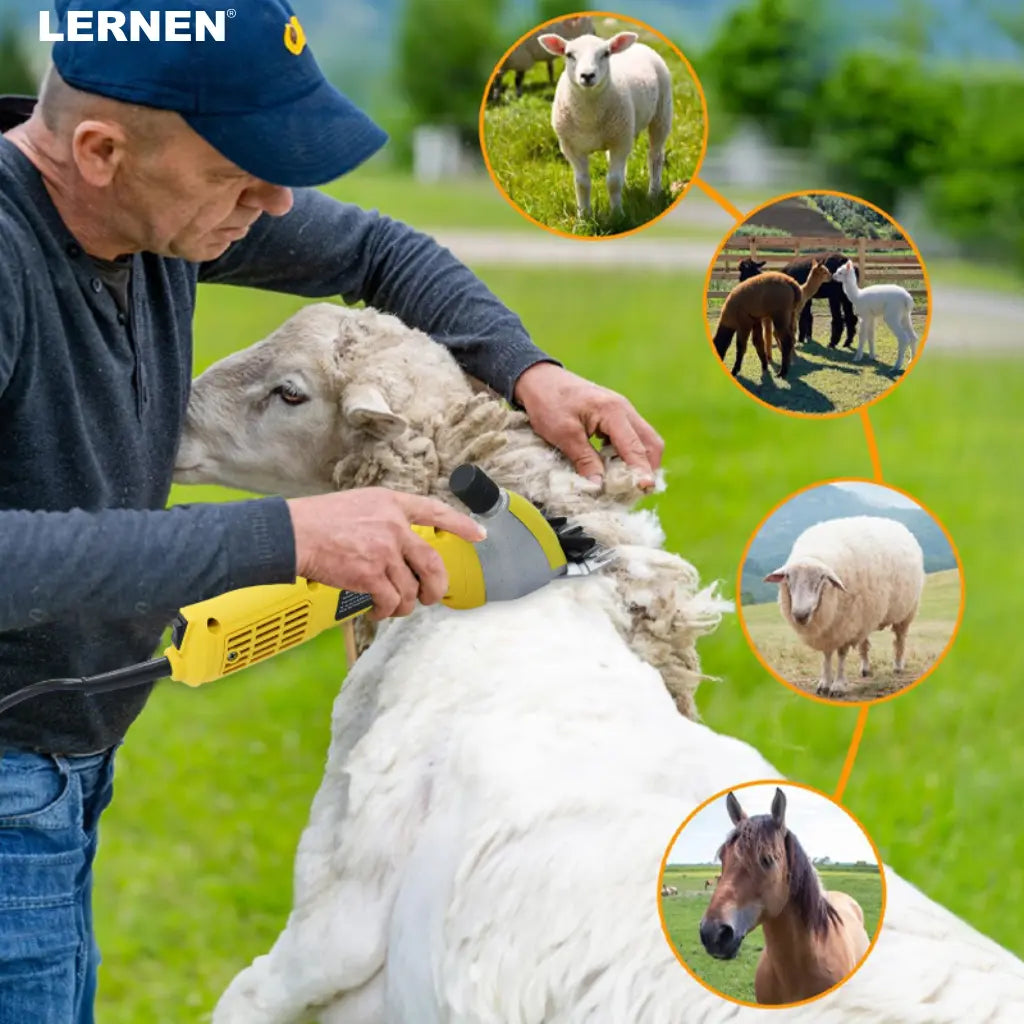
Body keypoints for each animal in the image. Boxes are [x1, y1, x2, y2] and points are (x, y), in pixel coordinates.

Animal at [536, 31, 672, 216]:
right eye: (569, 54)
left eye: (606, 53)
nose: (587, 76)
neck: (588, 118)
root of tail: (639, 45)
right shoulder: (571, 147)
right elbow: (582, 182)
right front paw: (584, 215)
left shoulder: (620, 143)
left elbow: (613, 181)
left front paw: (617, 214)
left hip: (661, 113)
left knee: (655, 156)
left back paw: (653, 194)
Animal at [763, 516, 925, 698]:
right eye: (788, 578)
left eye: (821, 579)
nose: (800, 615)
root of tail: (896, 523)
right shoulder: (830, 629)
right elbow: (826, 655)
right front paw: (824, 683)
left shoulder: (845, 624)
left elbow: (841, 654)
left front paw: (838, 685)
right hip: (865, 615)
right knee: (864, 644)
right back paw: (865, 669)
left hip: (906, 611)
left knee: (899, 639)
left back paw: (898, 666)